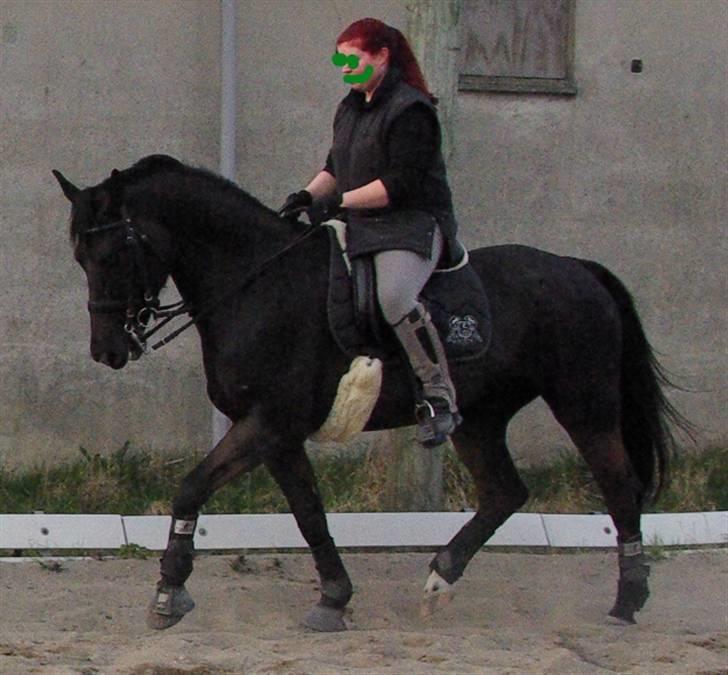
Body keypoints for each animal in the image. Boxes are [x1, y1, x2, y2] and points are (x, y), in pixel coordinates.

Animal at [53, 154, 685, 632]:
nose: (108, 350)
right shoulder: (277, 434)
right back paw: (440, 578)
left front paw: (168, 592)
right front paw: (333, 598)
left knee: (619, 486)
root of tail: (577, 268)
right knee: (505, 492)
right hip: (481, 417)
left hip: (584, 404)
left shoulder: (268, 422)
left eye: (112, 254)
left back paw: (627, 601)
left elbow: (191, 489)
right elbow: (308, 512)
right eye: (80, 257)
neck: (257, 282)